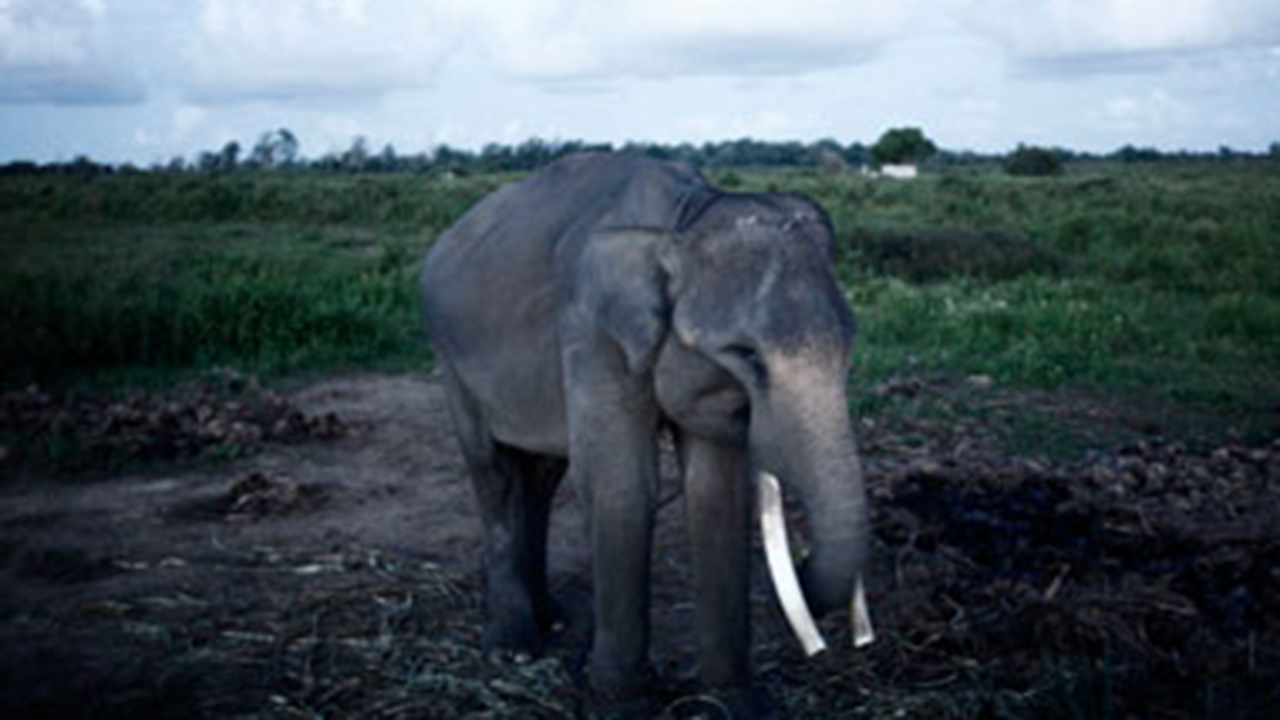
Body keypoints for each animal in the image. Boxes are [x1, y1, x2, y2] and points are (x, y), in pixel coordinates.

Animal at [421, 153, 868, 715]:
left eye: (850, 342)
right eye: (746, 355)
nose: (805, 574)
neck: (683, 219)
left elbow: (715, 490)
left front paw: (734, 701)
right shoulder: (591, 331)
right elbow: (623, 483)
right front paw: (622, 703)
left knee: (543, 475)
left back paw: (554, 619)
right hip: (450, 361)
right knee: (494, 472)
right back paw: (514, 647)